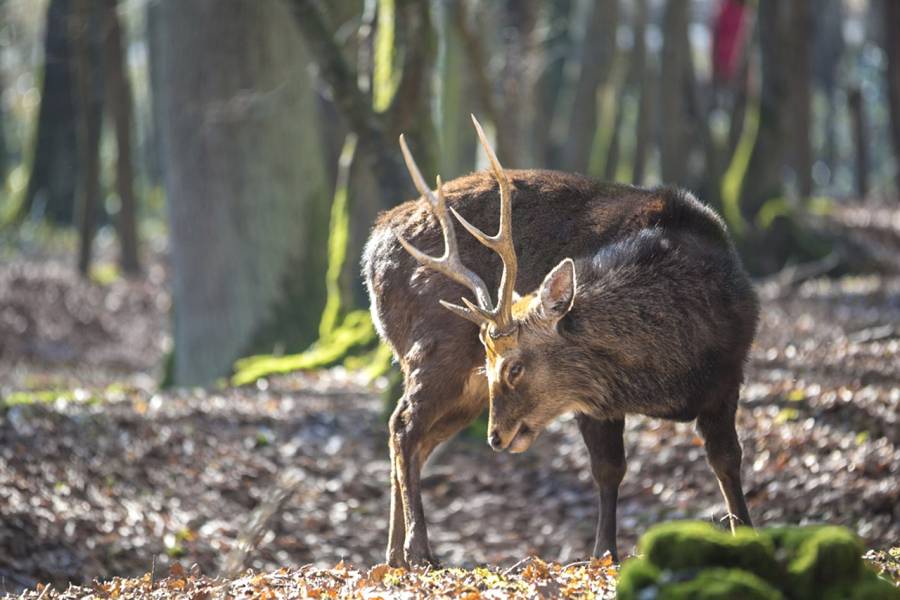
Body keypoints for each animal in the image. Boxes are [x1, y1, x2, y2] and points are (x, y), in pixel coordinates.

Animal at [362, 116, 756, 568]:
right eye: (491, 362)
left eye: (514, 367)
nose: (495, 438)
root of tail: (371, 252)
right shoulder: (594, 400)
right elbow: (608, 469)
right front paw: (604, 555)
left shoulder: (729, 374)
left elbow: (727, 460)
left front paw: (747, 532)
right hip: (434, 350)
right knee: (404, 427)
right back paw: (419, 551)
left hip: (460, 385)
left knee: (415, 437)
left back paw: (393, 555)